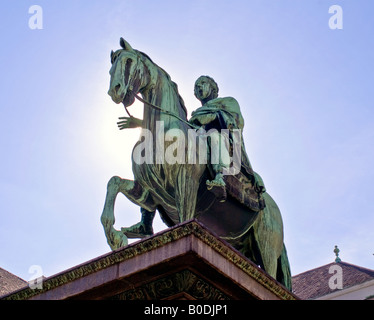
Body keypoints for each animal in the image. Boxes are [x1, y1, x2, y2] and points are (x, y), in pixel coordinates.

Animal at [101, 38, 292, 290]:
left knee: (270, 277)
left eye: (129, 61)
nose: (115, 90)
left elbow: (185, 222)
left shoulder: (186, 182)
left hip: (266, 245)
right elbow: (114, 184)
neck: (161, 134)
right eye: (111, 68)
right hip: (244, 245)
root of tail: (273, 207)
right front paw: (116, 237)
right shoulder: (148, 190)